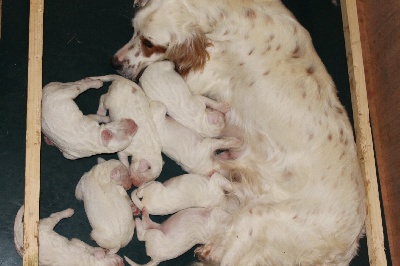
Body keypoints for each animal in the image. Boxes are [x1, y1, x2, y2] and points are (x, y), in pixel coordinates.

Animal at [111, 0, 368, 264]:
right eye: (135, 31)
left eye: (149, 43)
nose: (115, 62)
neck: (228, 13)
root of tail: (346, 246)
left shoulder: (199, 77)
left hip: (255, 220)